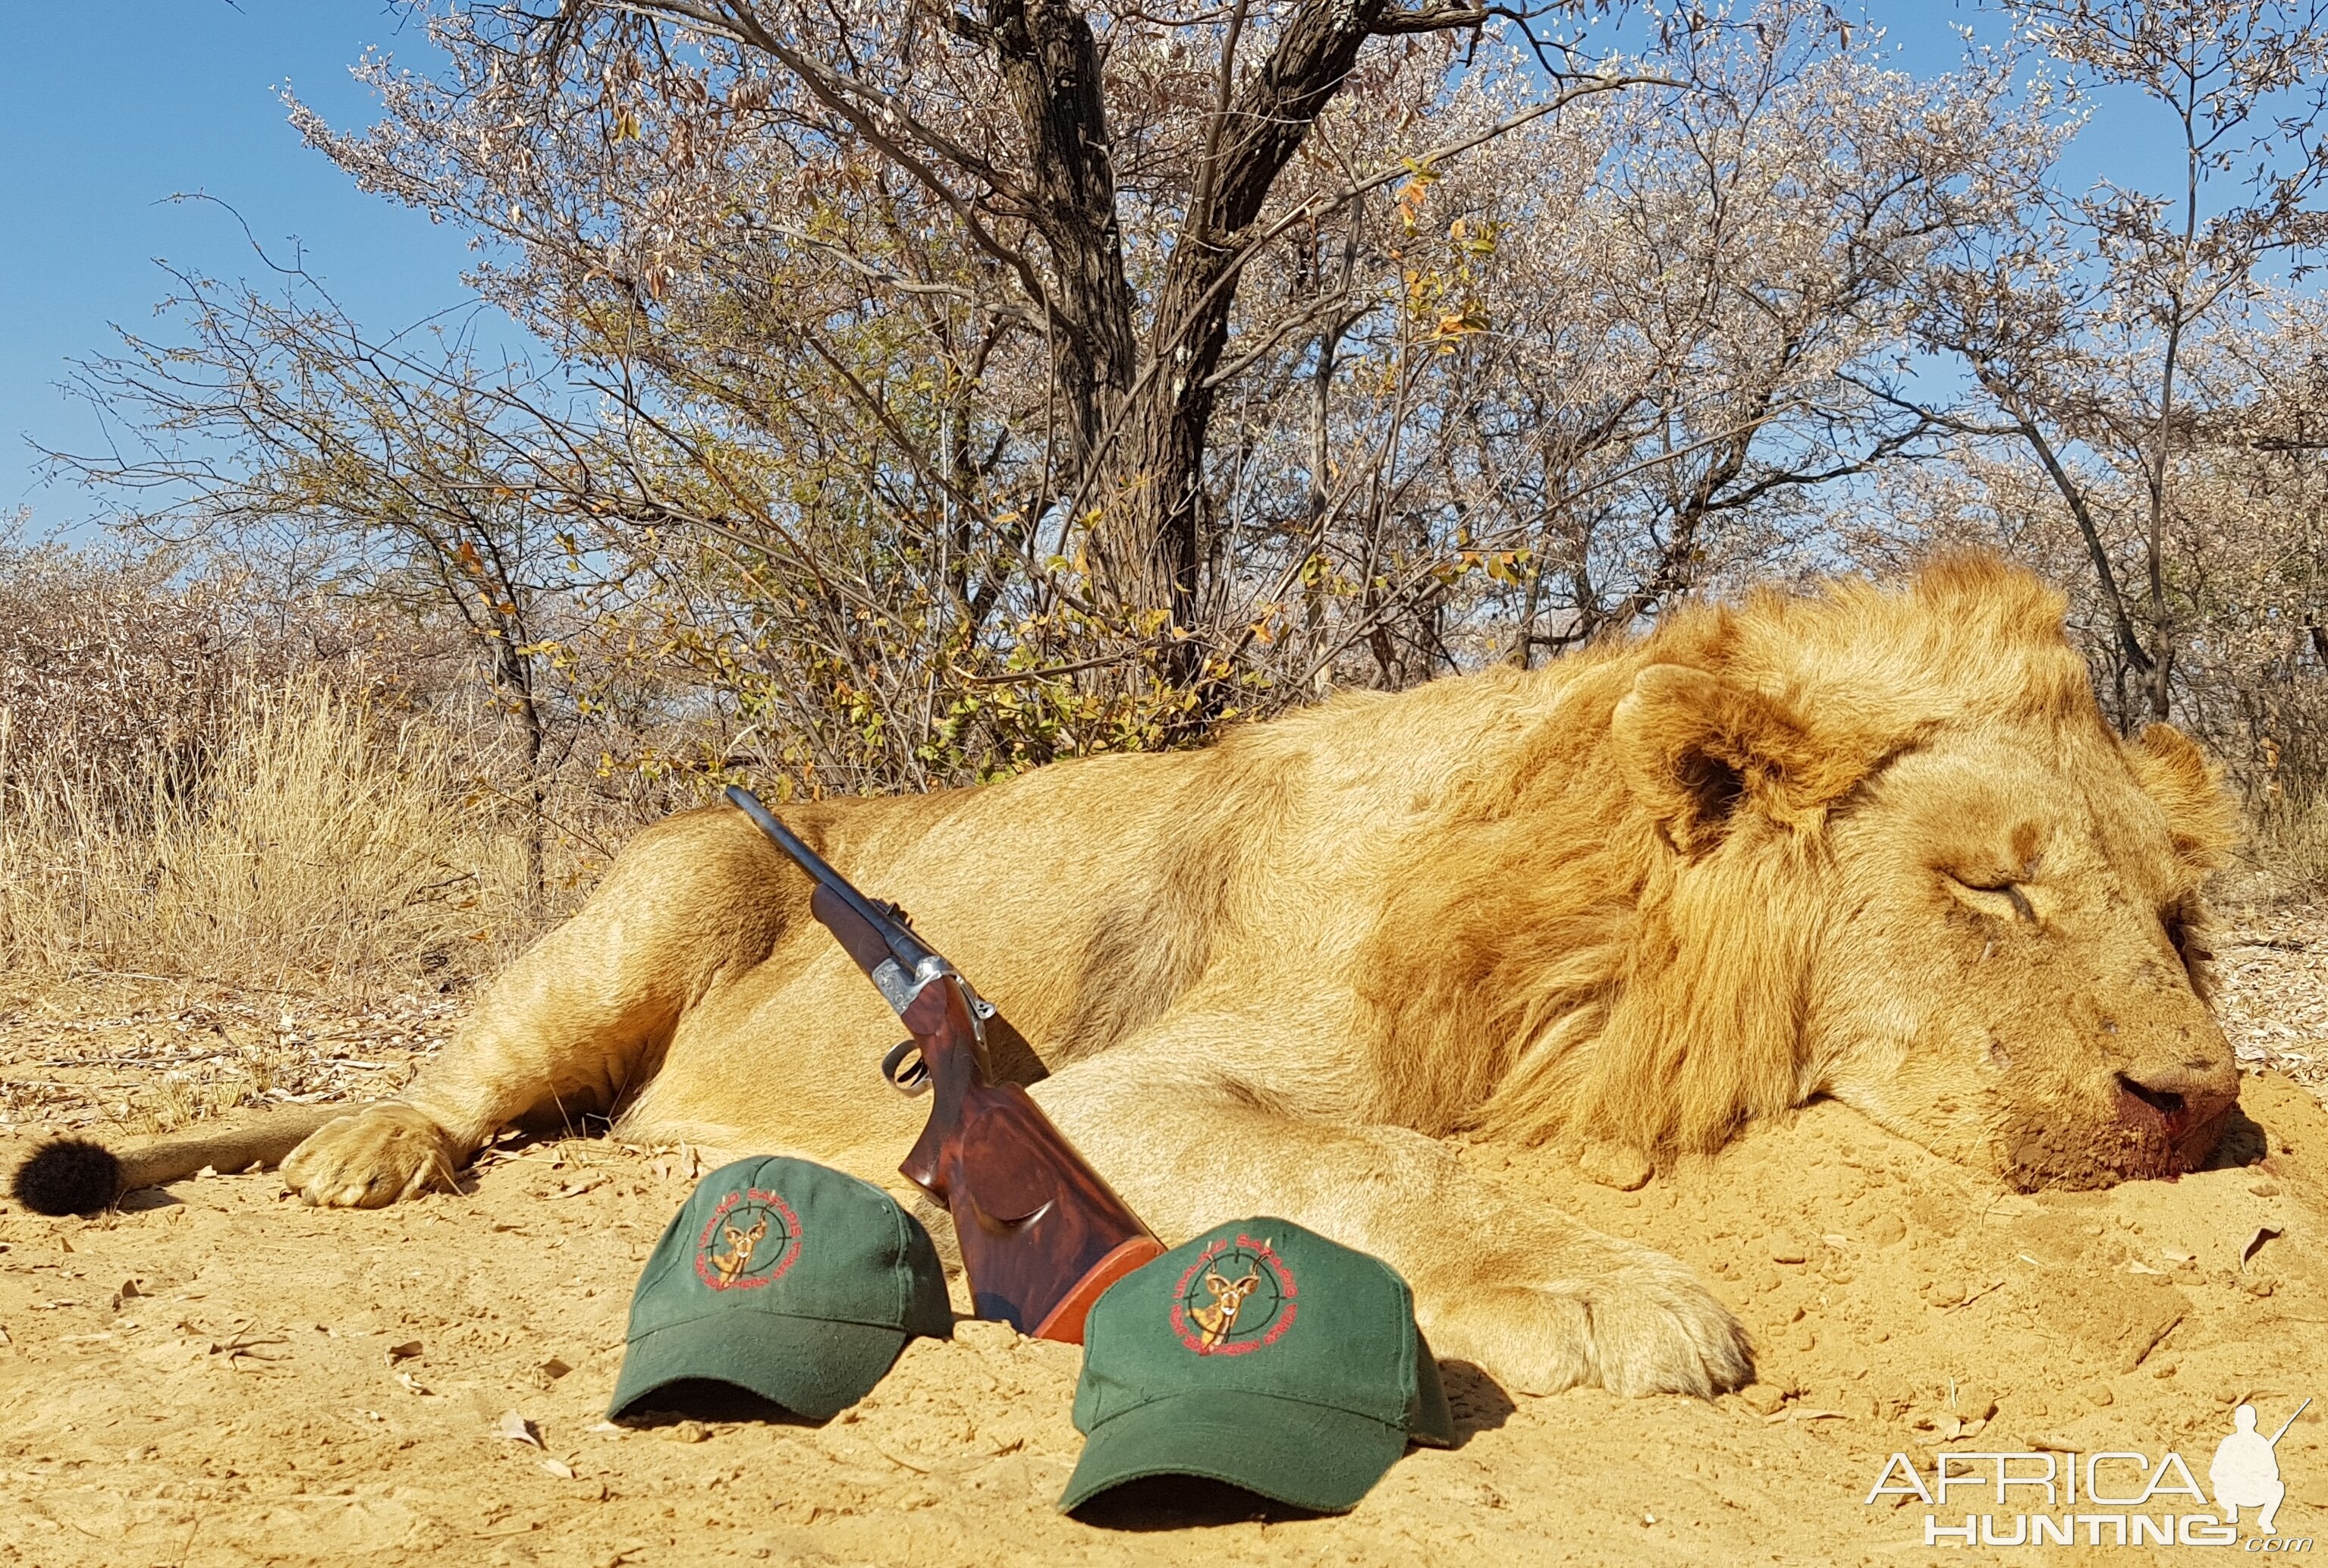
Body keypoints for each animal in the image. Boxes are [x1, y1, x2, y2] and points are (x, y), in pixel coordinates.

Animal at [8, 548, 2244, 1396]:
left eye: (2176, 918)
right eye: (1989, 889)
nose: (2199, 1102)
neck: (1575, 902)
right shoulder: (1112, 1087)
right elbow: (1378, 1165)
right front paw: (1617, 1295)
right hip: (660, 892)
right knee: (462, 1065)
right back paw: (369, 1149)